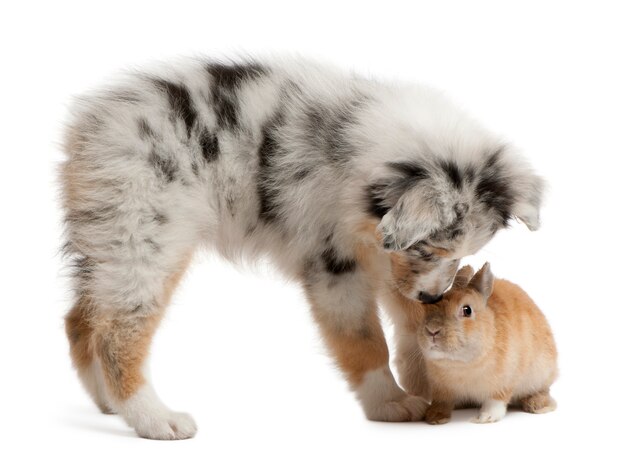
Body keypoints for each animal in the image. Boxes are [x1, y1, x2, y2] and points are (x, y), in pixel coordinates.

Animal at [390, 262, 556, 424]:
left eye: (467, 310)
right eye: (426, 308)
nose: (432, 330)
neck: (461, 363)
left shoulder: (504, 382)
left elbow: (495, 402)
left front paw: (485, 418)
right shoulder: (441, 388)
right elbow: (442, 402)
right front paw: (435, 417)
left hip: (541, 375)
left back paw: (537, 405)